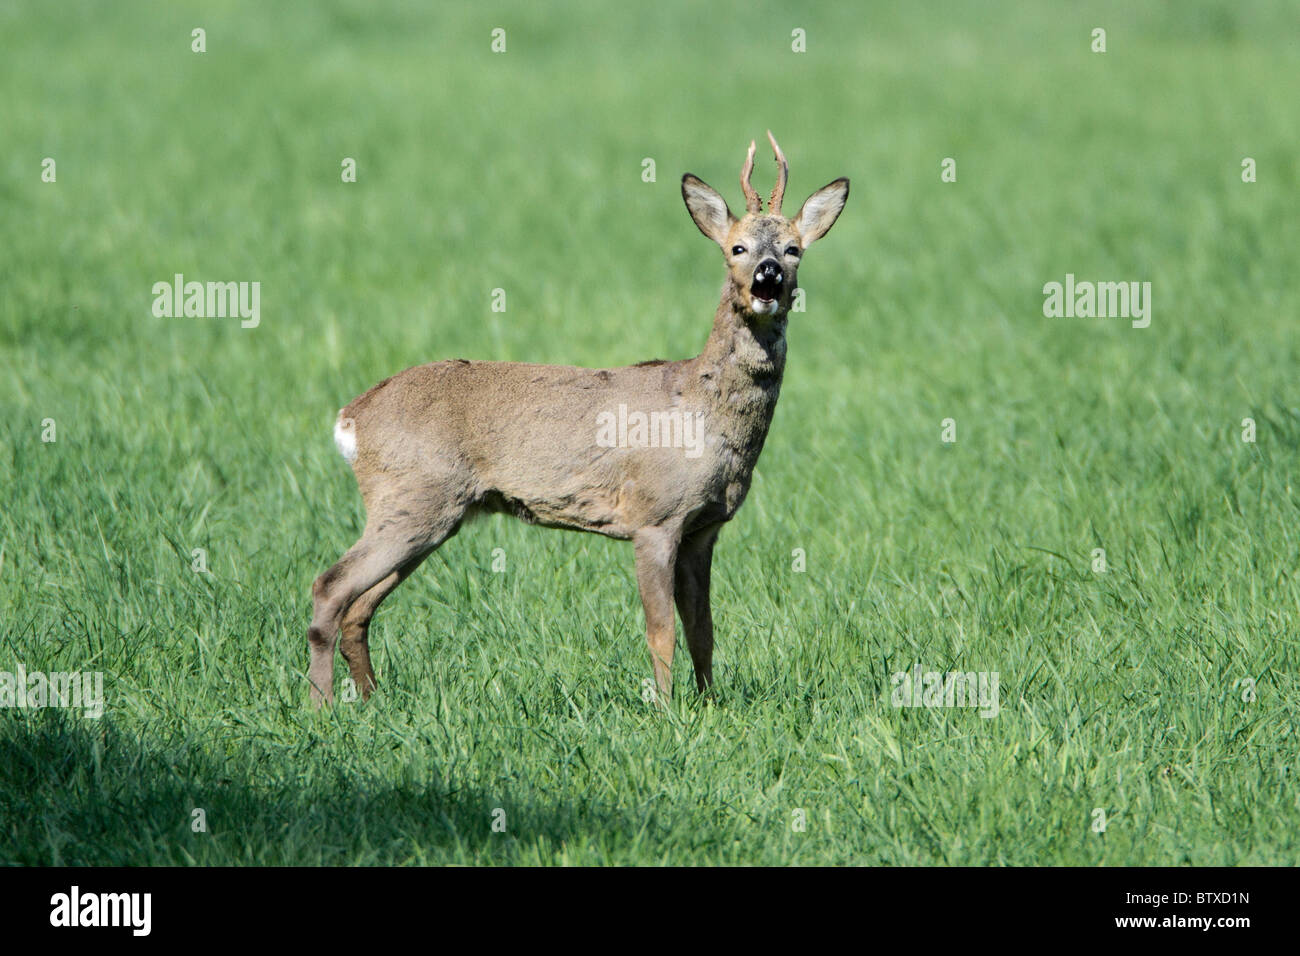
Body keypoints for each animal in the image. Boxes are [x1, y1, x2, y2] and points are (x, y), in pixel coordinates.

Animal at [306, 132, 848, 707]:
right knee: (329, 586)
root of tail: (351, 417)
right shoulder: (653, 517)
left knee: (359, 606)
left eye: (793, 249)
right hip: (411, 497)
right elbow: (662, 631)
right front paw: (666, 709)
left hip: (428, 511)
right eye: (736, 249)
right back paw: (322, 707)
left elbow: (703, 628)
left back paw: (368, 698)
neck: (703, 416)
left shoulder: (704, 529)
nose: (768, 275)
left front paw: (707, 703)